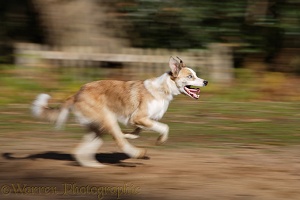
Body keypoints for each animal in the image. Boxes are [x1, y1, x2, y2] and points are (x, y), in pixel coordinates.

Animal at [31, 56, 207, 167]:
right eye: (190, 76)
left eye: (196, 75)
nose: (205, 81)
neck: (163, 89)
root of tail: (77, 93)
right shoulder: (139, 117)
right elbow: (164, 127)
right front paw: (160, 140)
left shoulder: (140, 121)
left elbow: (137, 132)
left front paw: (128, 135)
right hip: (108, 120)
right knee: (119, 143)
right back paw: (137, 153)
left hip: (98, 129)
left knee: (79, 150)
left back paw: (94, 166)